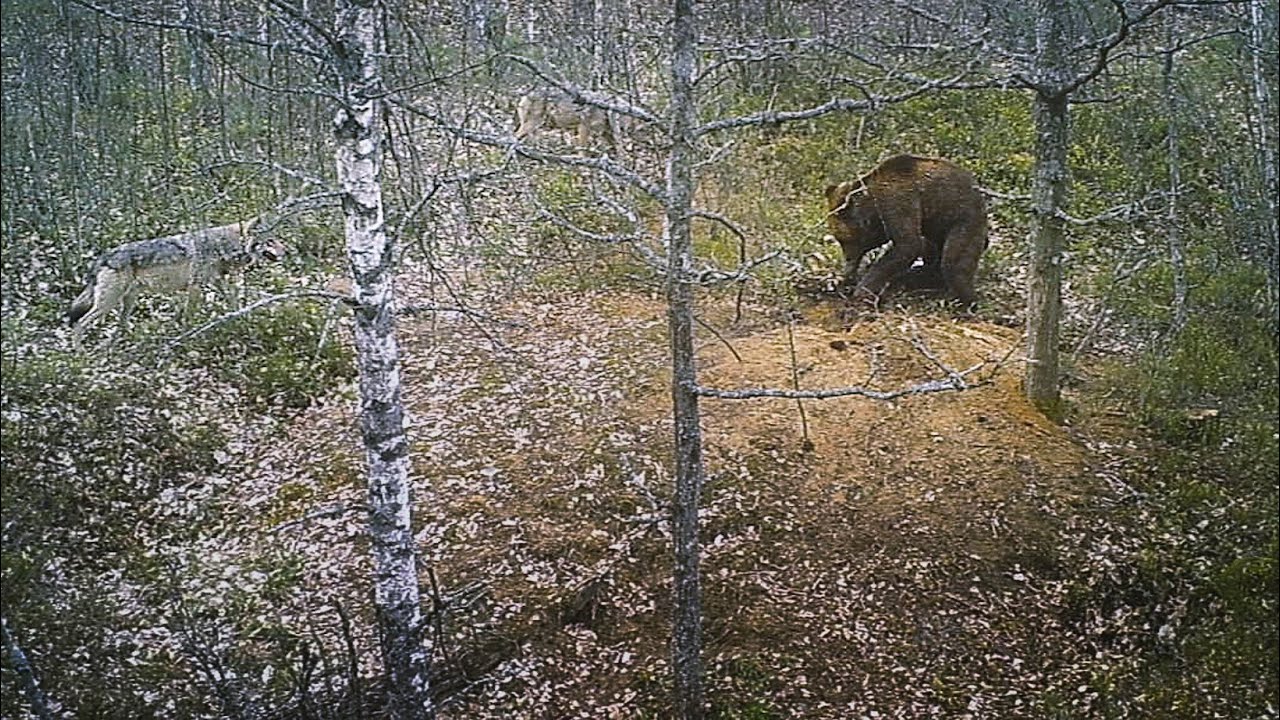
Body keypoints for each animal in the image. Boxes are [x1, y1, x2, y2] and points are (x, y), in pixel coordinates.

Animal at [67, 218, 285, 341]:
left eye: (277, 239)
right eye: (270, 241)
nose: (288, 251)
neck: (223, 246)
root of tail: (102, 257)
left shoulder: (217, 282)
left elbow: (233, 304)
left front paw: (241, 321)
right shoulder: (195, 286)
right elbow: (189, 316)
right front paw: (186, 337)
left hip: (127, 301)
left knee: (120, 326)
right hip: (108, 304)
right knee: (79, 324)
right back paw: (80, 357)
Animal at [823, 154, 989, 307]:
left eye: (843, 240)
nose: (848, 266)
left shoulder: (898, 199)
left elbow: (908, 245)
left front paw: (863, 290)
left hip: (965, 219)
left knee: (954, 263)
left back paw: (966, 301)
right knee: (933, 255)